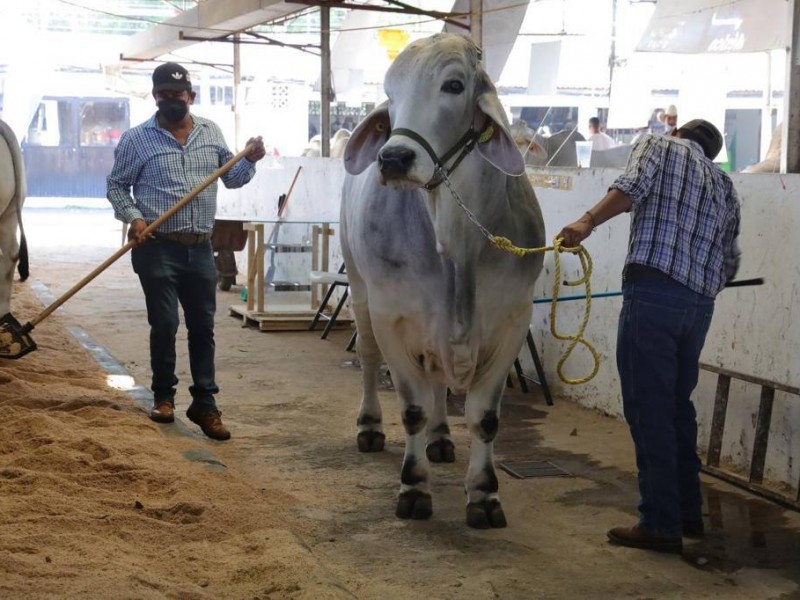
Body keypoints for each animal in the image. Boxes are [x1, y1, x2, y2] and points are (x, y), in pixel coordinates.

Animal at [340, 34, 548, 528]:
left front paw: (485, 495)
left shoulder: (512, 322)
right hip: (360, 294)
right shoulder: (392, 318)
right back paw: (370, 426)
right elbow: (411, 408)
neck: (457, 242)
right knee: (369, 360)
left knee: (437, 380)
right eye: (390, 92)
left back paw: (440, 438)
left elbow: (484, 417)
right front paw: (414, 487)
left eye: (454, 85)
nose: (393, 158)